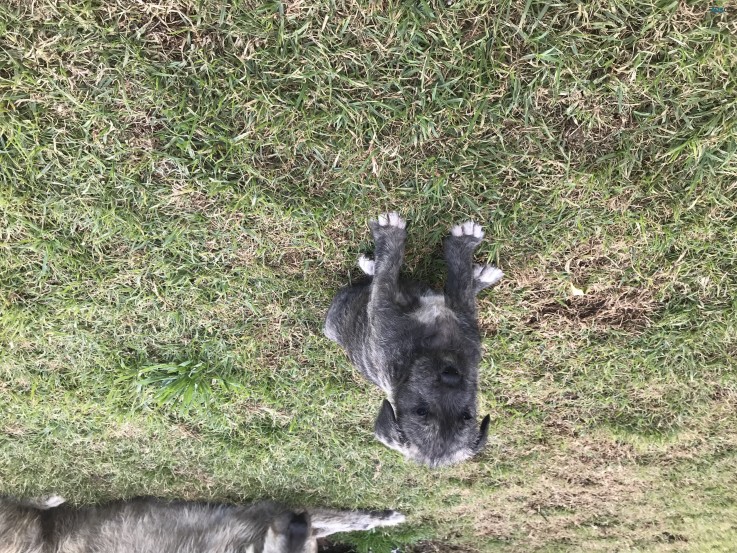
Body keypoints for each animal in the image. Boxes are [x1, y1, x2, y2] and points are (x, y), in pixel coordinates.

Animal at [324, 211, 504, 466]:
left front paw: (463, 246)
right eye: (421, 411)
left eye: (467, 416)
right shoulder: (385, 309)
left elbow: (460, 285)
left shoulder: (461, 314)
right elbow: (390, 275)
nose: (451, 375)